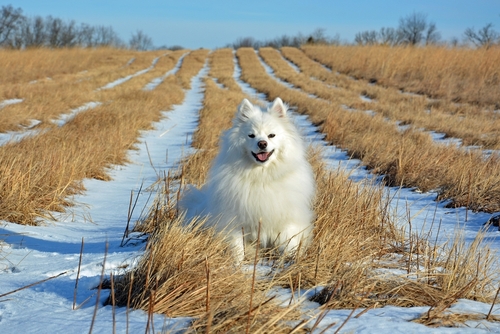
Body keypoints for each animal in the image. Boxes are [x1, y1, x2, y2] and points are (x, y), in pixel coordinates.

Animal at [178, 97, 314, 260]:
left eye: (271, 135)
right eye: (251, 135)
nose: (262, 144)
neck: (262, 177)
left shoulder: (287, 218)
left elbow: (289, 243)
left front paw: (289, 261)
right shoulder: (234, 221)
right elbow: (237, 248)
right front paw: (237, 264)